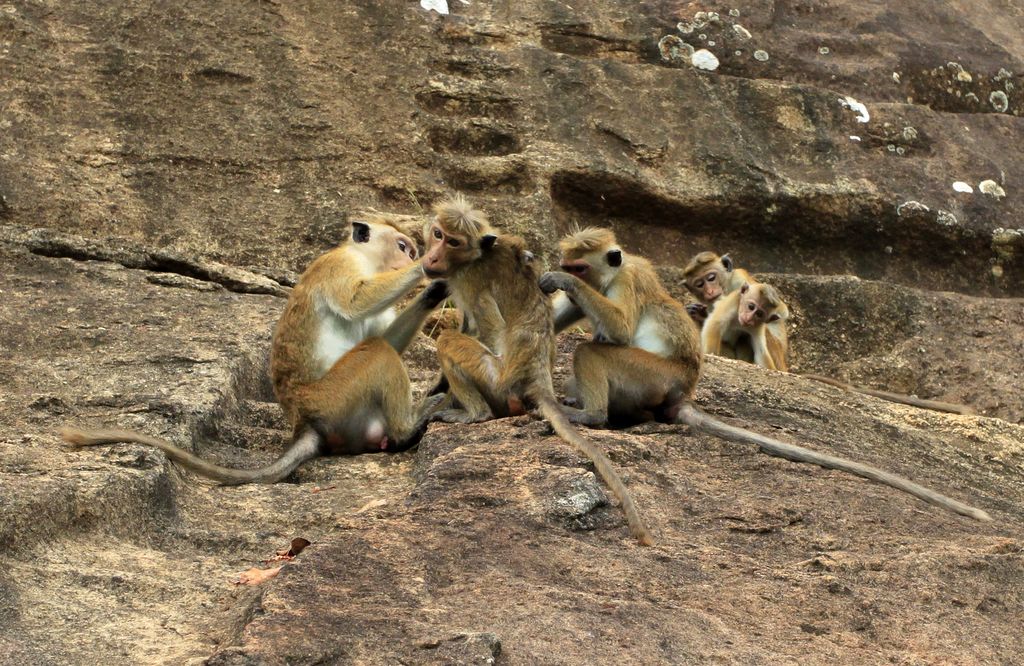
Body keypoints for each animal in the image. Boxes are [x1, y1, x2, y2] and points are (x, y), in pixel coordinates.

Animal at [419, 193, 651, 545]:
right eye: (438, 234)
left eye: (453, 241)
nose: (432, 256)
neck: (471, 258)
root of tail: (538, 379)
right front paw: (435, 387)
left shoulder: (470, 281)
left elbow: (488, 328)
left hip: (496, 380)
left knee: (449, 341)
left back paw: (474, 413)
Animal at [544, 228, 991, 524]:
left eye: (578, 267)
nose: (568, 274)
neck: (607, 277)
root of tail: (683, 390)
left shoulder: (627, 280)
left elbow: (619, 328)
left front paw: (556, 283)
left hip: (652, 375)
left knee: (593, 351)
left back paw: (591, 415)